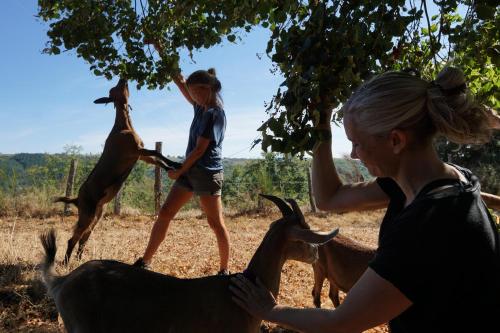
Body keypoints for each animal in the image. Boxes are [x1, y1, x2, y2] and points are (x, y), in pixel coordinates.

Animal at [55, 78, 181, 264]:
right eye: (113, 89)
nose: (123, 78)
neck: (123, 126)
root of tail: (77, 199)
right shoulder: (135, 151)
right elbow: (157, 153)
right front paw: (177, 164)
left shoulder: (141, 155)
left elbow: (158, 160)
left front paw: (172, 166)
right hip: (87, 214)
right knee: (73, 238)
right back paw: (66, 262)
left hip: (96, 215)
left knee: (84, 238)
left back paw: (79, 260)